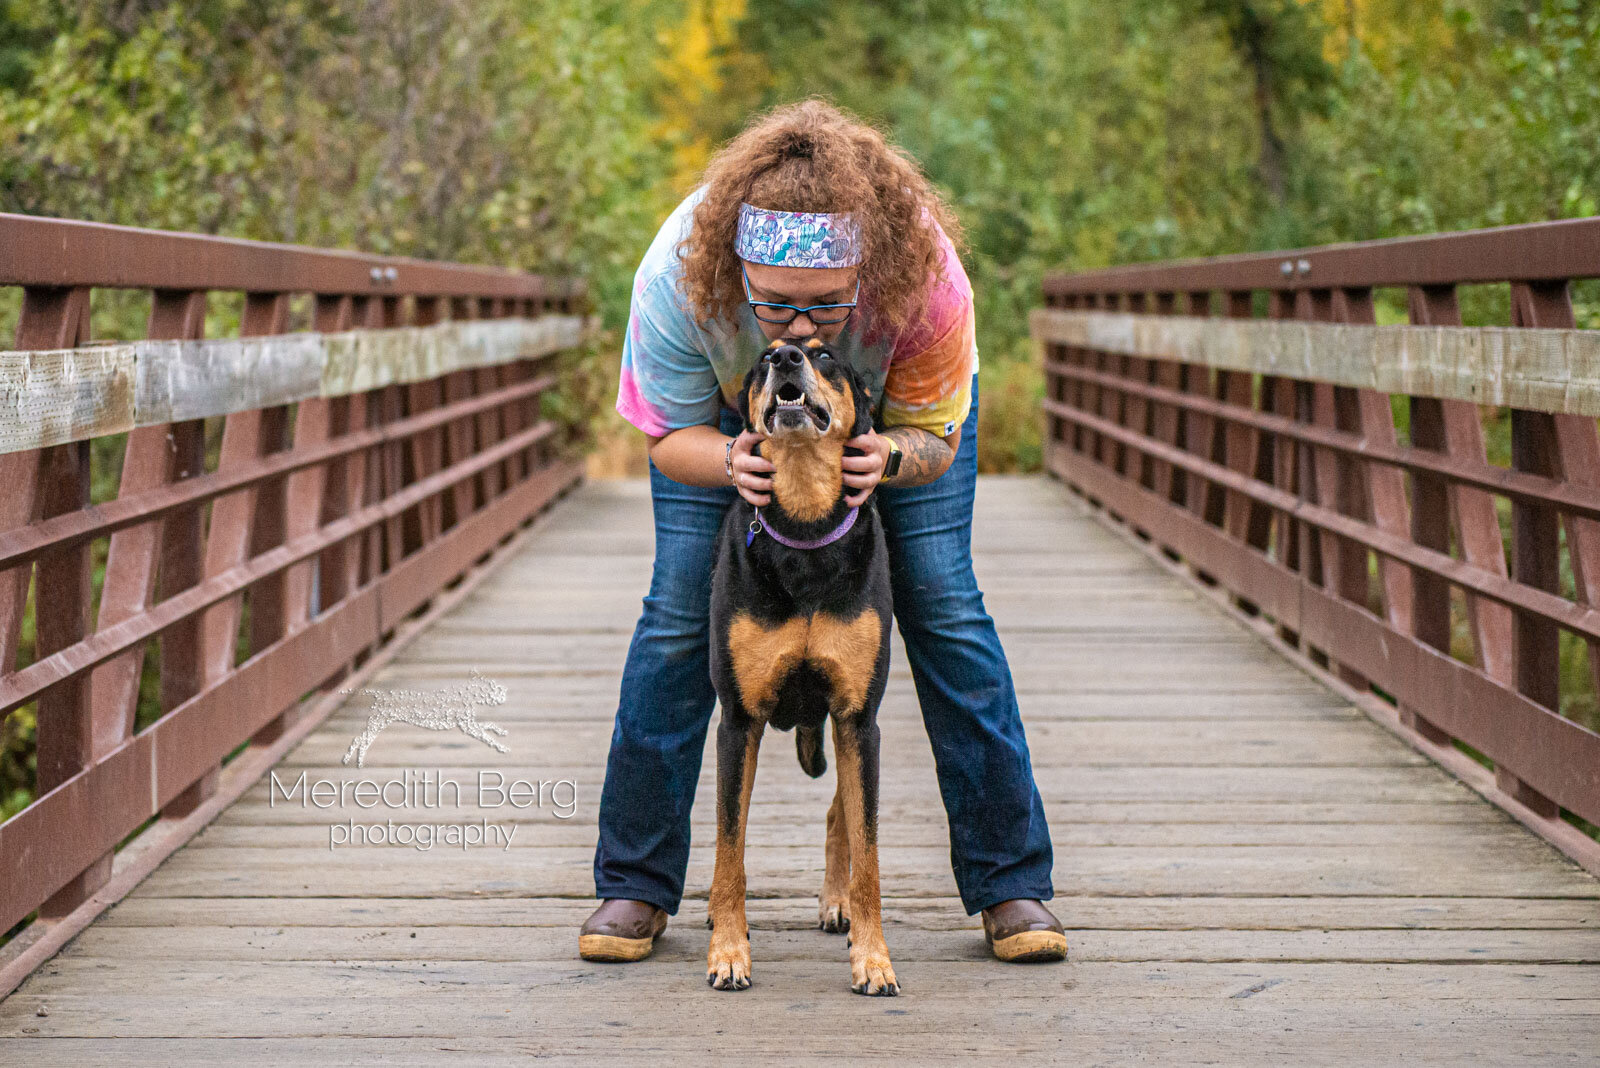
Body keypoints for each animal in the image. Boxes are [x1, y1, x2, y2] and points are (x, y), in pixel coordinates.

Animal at [710, 337, 902, 997]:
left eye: (824, 358)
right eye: (763, 360)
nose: (787, 357)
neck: (804, 527)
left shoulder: (858, 717)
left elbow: (869, 852)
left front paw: (874, 959)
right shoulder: (738, 721)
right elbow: (730, 847)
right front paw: (729, 953)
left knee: (839, 811)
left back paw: (835, 901)